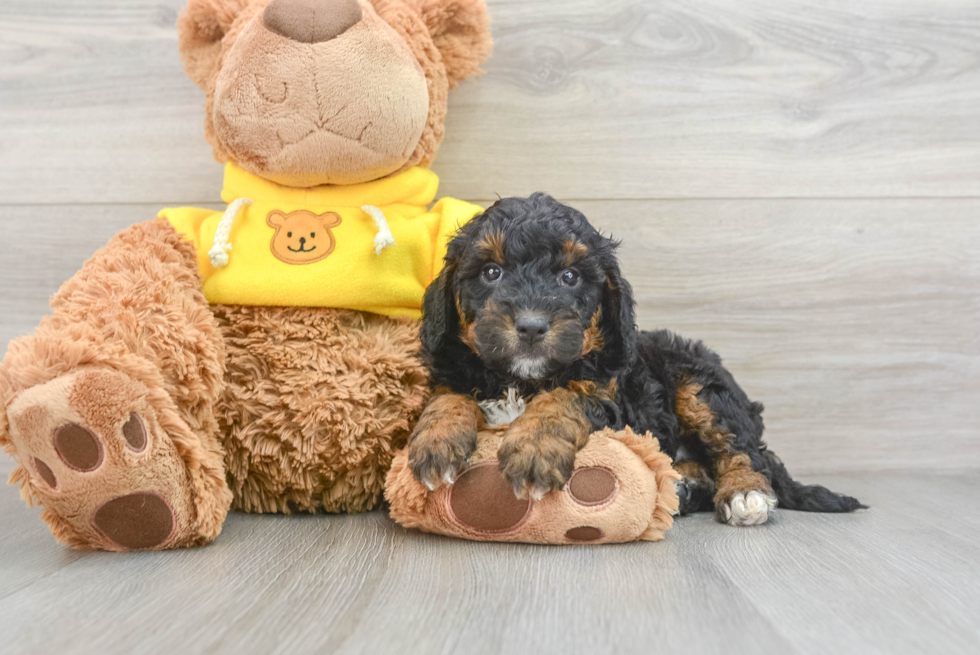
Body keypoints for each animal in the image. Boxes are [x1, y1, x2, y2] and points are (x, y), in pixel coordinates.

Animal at [410, 195, 860, 528]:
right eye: (491, 272)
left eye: (570, 277)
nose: (532, 326)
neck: (521, 380)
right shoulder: (456, 372)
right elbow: (447, 396)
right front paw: (436, 441)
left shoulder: (610, 397)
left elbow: (565, 398)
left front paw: (534, 447)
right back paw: (682, 488)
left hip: (700, 386)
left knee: (745, 451)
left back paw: (743, 494)